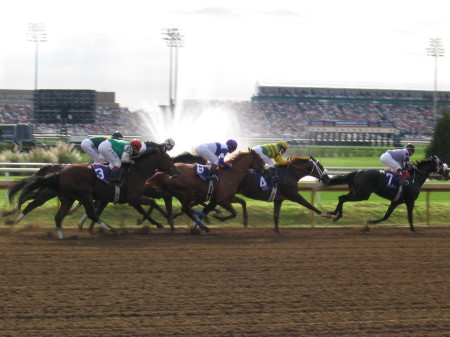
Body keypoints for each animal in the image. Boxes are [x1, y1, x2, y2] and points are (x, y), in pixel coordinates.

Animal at [14, 148, 176, 238]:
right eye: (168, 159)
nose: (176, 171)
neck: (136, 172)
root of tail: (59, 172)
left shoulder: (125, 199)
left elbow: (149, 206)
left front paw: (162, 222)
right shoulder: (133, 197)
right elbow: (152, 203)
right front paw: (165, 221)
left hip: (67, 198)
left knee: (57, 215)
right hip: (83, 194)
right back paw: (112, 230)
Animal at [314, 156, 448, 231]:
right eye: (440, 163)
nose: (447, 171)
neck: (415, 178)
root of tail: (357, 171)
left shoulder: (396, 201)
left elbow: (386, 216)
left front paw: (370, 222)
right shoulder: (410, 201)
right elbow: (410, 216)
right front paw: (413, 229)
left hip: (356, 192)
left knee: (341, 197)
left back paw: (333, 214)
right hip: (363, 194)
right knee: (342, 198)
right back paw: (336, 215)